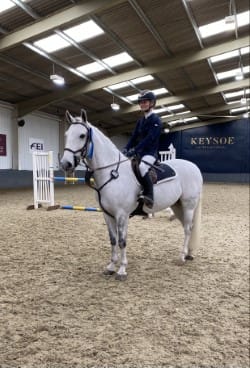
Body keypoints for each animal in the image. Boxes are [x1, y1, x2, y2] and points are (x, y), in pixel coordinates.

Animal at [60, 109, 203, 282]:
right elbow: (113, 240)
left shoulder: (122, 215)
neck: (112, 173)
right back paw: (189, 254)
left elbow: (122, 241)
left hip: (188, 205)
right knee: (188, 227)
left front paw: (122, 270)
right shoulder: (108, 215)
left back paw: (182, 257)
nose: (65, 164)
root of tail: (193, 166)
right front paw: (111, 267)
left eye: (82, 135)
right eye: (67, 134)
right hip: (177, 206)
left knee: (188, 229)